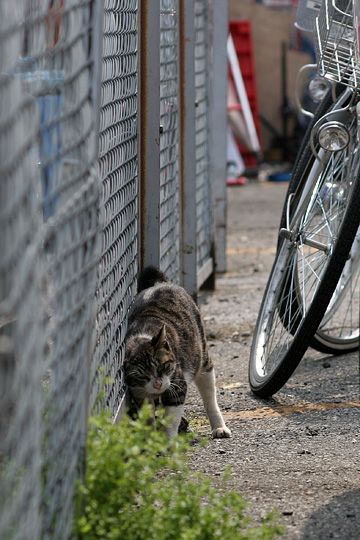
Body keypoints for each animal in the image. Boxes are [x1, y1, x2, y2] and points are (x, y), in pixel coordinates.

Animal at [124, 266, 231, 438]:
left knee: (209, 396)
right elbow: (148, 418)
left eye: (162, 366)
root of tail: (160, 283)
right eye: (142, 375)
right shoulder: (139, 393)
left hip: (202, 358)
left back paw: (219, 427)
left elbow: (171, 417)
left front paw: (168, 440)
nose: (158, 383)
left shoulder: (177, 384)